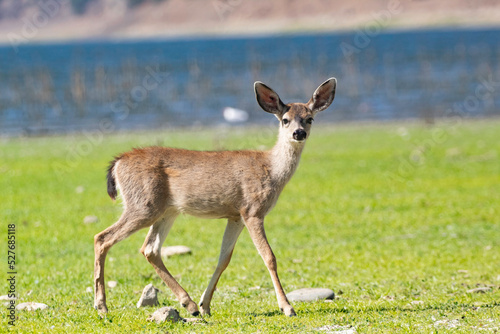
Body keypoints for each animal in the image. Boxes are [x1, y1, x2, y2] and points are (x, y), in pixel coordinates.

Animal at [94, 77, 336, 318]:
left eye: (310, 119)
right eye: (285, 120)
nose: (299, 133)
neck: (271, 169)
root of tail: (117, 162)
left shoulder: (236, 216)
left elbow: (224, 258)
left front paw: (206, 304)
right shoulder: (253, 210)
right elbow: (269, 256)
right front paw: (287, 307)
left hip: (166, 211)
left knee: (150, 249)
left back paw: (190, 304)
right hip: (143, 204)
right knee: (102, 238)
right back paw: (102, 305)